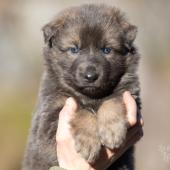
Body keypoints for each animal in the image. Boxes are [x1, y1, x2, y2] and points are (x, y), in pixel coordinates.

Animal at [22, 3, 141, 170]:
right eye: (74, 49)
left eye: (107, 50)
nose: (90, 76)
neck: (90, 96)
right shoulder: (50, 117)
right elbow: (82, 111)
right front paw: (89, 143)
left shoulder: (130, 94)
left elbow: (113, 100)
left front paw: (112, 131)